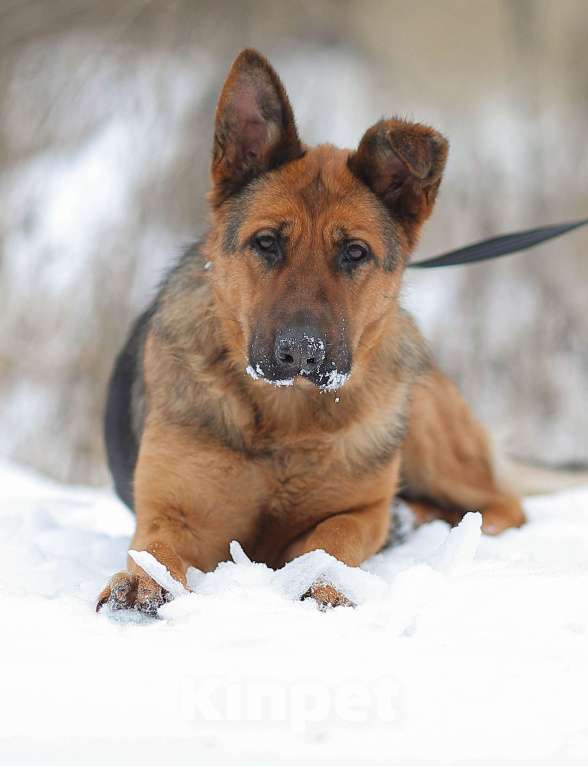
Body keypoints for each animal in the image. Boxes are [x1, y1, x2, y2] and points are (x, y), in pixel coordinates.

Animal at [96, 48, 524, 616]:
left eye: (355, 253)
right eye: (267, 243)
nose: (302, 353)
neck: (287, 418)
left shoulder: (359, 510)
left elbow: (332, 536)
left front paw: (325, 581)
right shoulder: (174, 509)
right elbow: (155, 546)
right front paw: (143, 580)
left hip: (427, 431)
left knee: (501, 504)